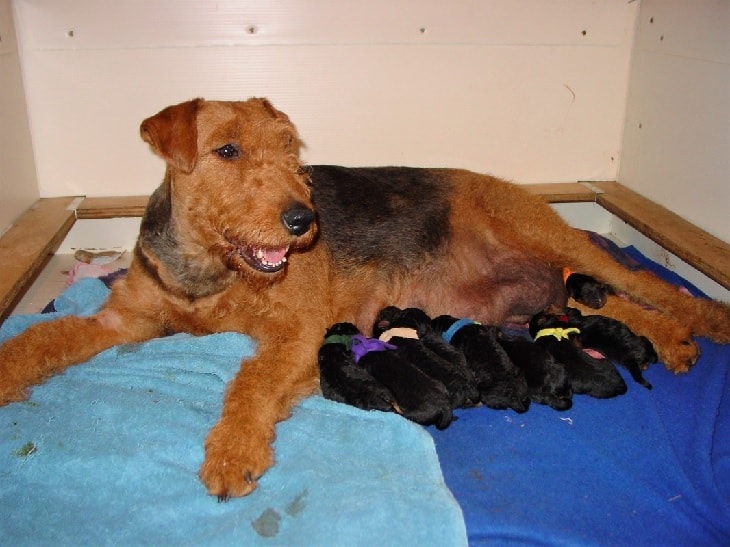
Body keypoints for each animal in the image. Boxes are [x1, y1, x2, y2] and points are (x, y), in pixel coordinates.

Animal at [1, 96, 728, 498]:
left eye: (290, 149)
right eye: (227, 150)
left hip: (552, 241)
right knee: (612, 305)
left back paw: (696, 328)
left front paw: (233, 454)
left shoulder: (297, 330)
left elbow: (250, 381)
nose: (303, 220)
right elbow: (40, 339)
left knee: (653, 287)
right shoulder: (121, 320)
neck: (212, 272)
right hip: (542, 296)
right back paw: (675, 340)